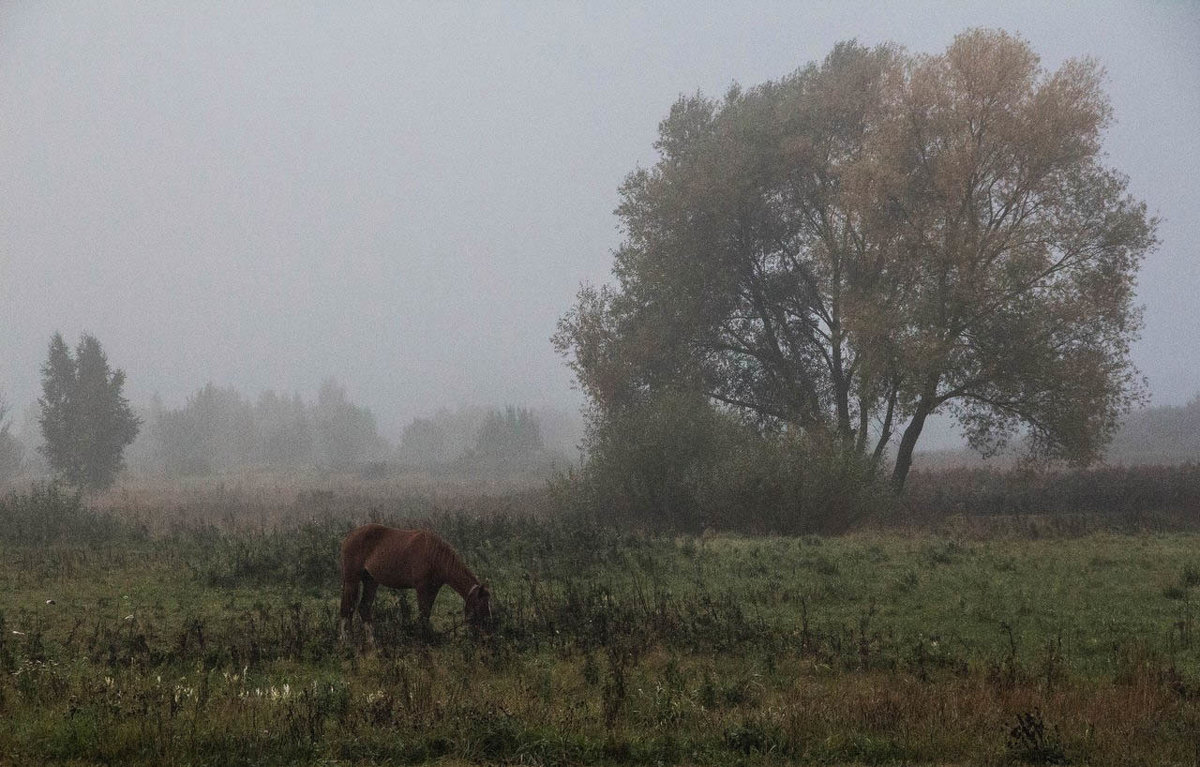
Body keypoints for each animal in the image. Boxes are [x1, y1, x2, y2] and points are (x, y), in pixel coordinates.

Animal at [338, 525, 492, 643]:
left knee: (363, 608)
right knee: (347, 609)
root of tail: (349, 537)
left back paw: (372, 642)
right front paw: (422, 640)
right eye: (480, 606)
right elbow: (423, 614)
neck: (435, 555)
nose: (487, 635)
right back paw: (346, 640)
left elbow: (426, 614)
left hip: (371, 581)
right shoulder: (421, 588)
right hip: (352, 580)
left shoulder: (433, 589)